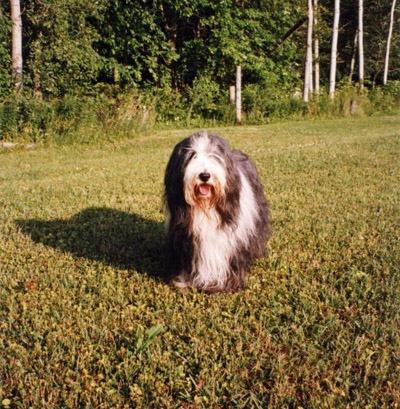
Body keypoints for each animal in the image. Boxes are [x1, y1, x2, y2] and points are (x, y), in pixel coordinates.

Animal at [164, 130, 270, 290]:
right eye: (192, 155)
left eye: (213, 155)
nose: (204, 175)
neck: (207, 207)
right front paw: (186, 281)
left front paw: (229, 283)